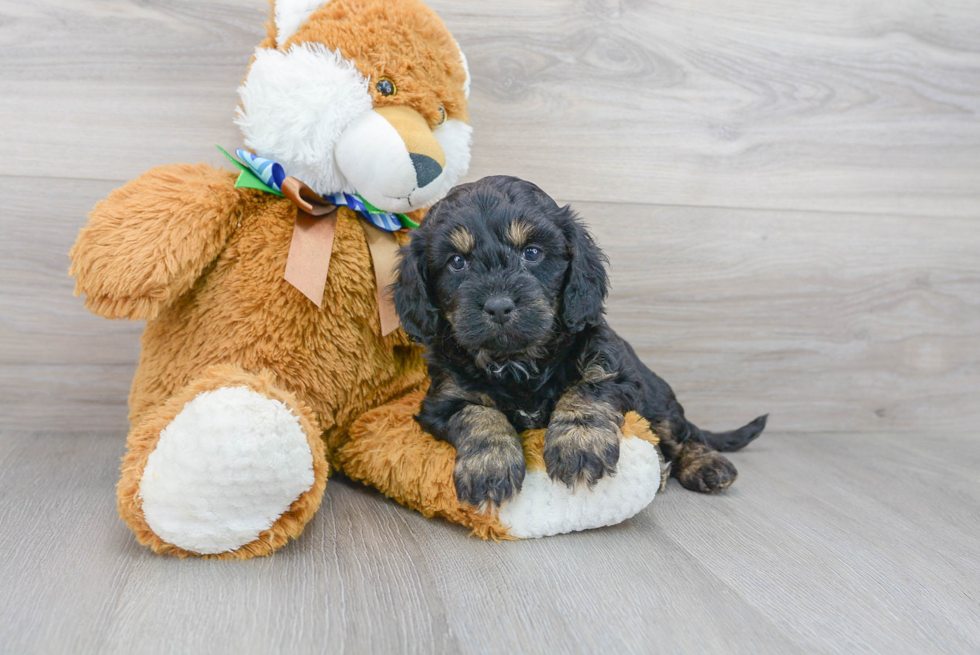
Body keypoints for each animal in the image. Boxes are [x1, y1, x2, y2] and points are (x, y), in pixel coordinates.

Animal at [390, 174, 764, 508]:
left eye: (532, 253)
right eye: (457, 262)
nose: (498, 306)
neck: (517, 362)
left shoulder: (613, 366)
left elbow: (587, 390)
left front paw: (580, 445)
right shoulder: (443, 399)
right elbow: (477, 414)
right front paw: (490, 465)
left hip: (658, 397)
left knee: (682, 433)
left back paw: (706, 464)